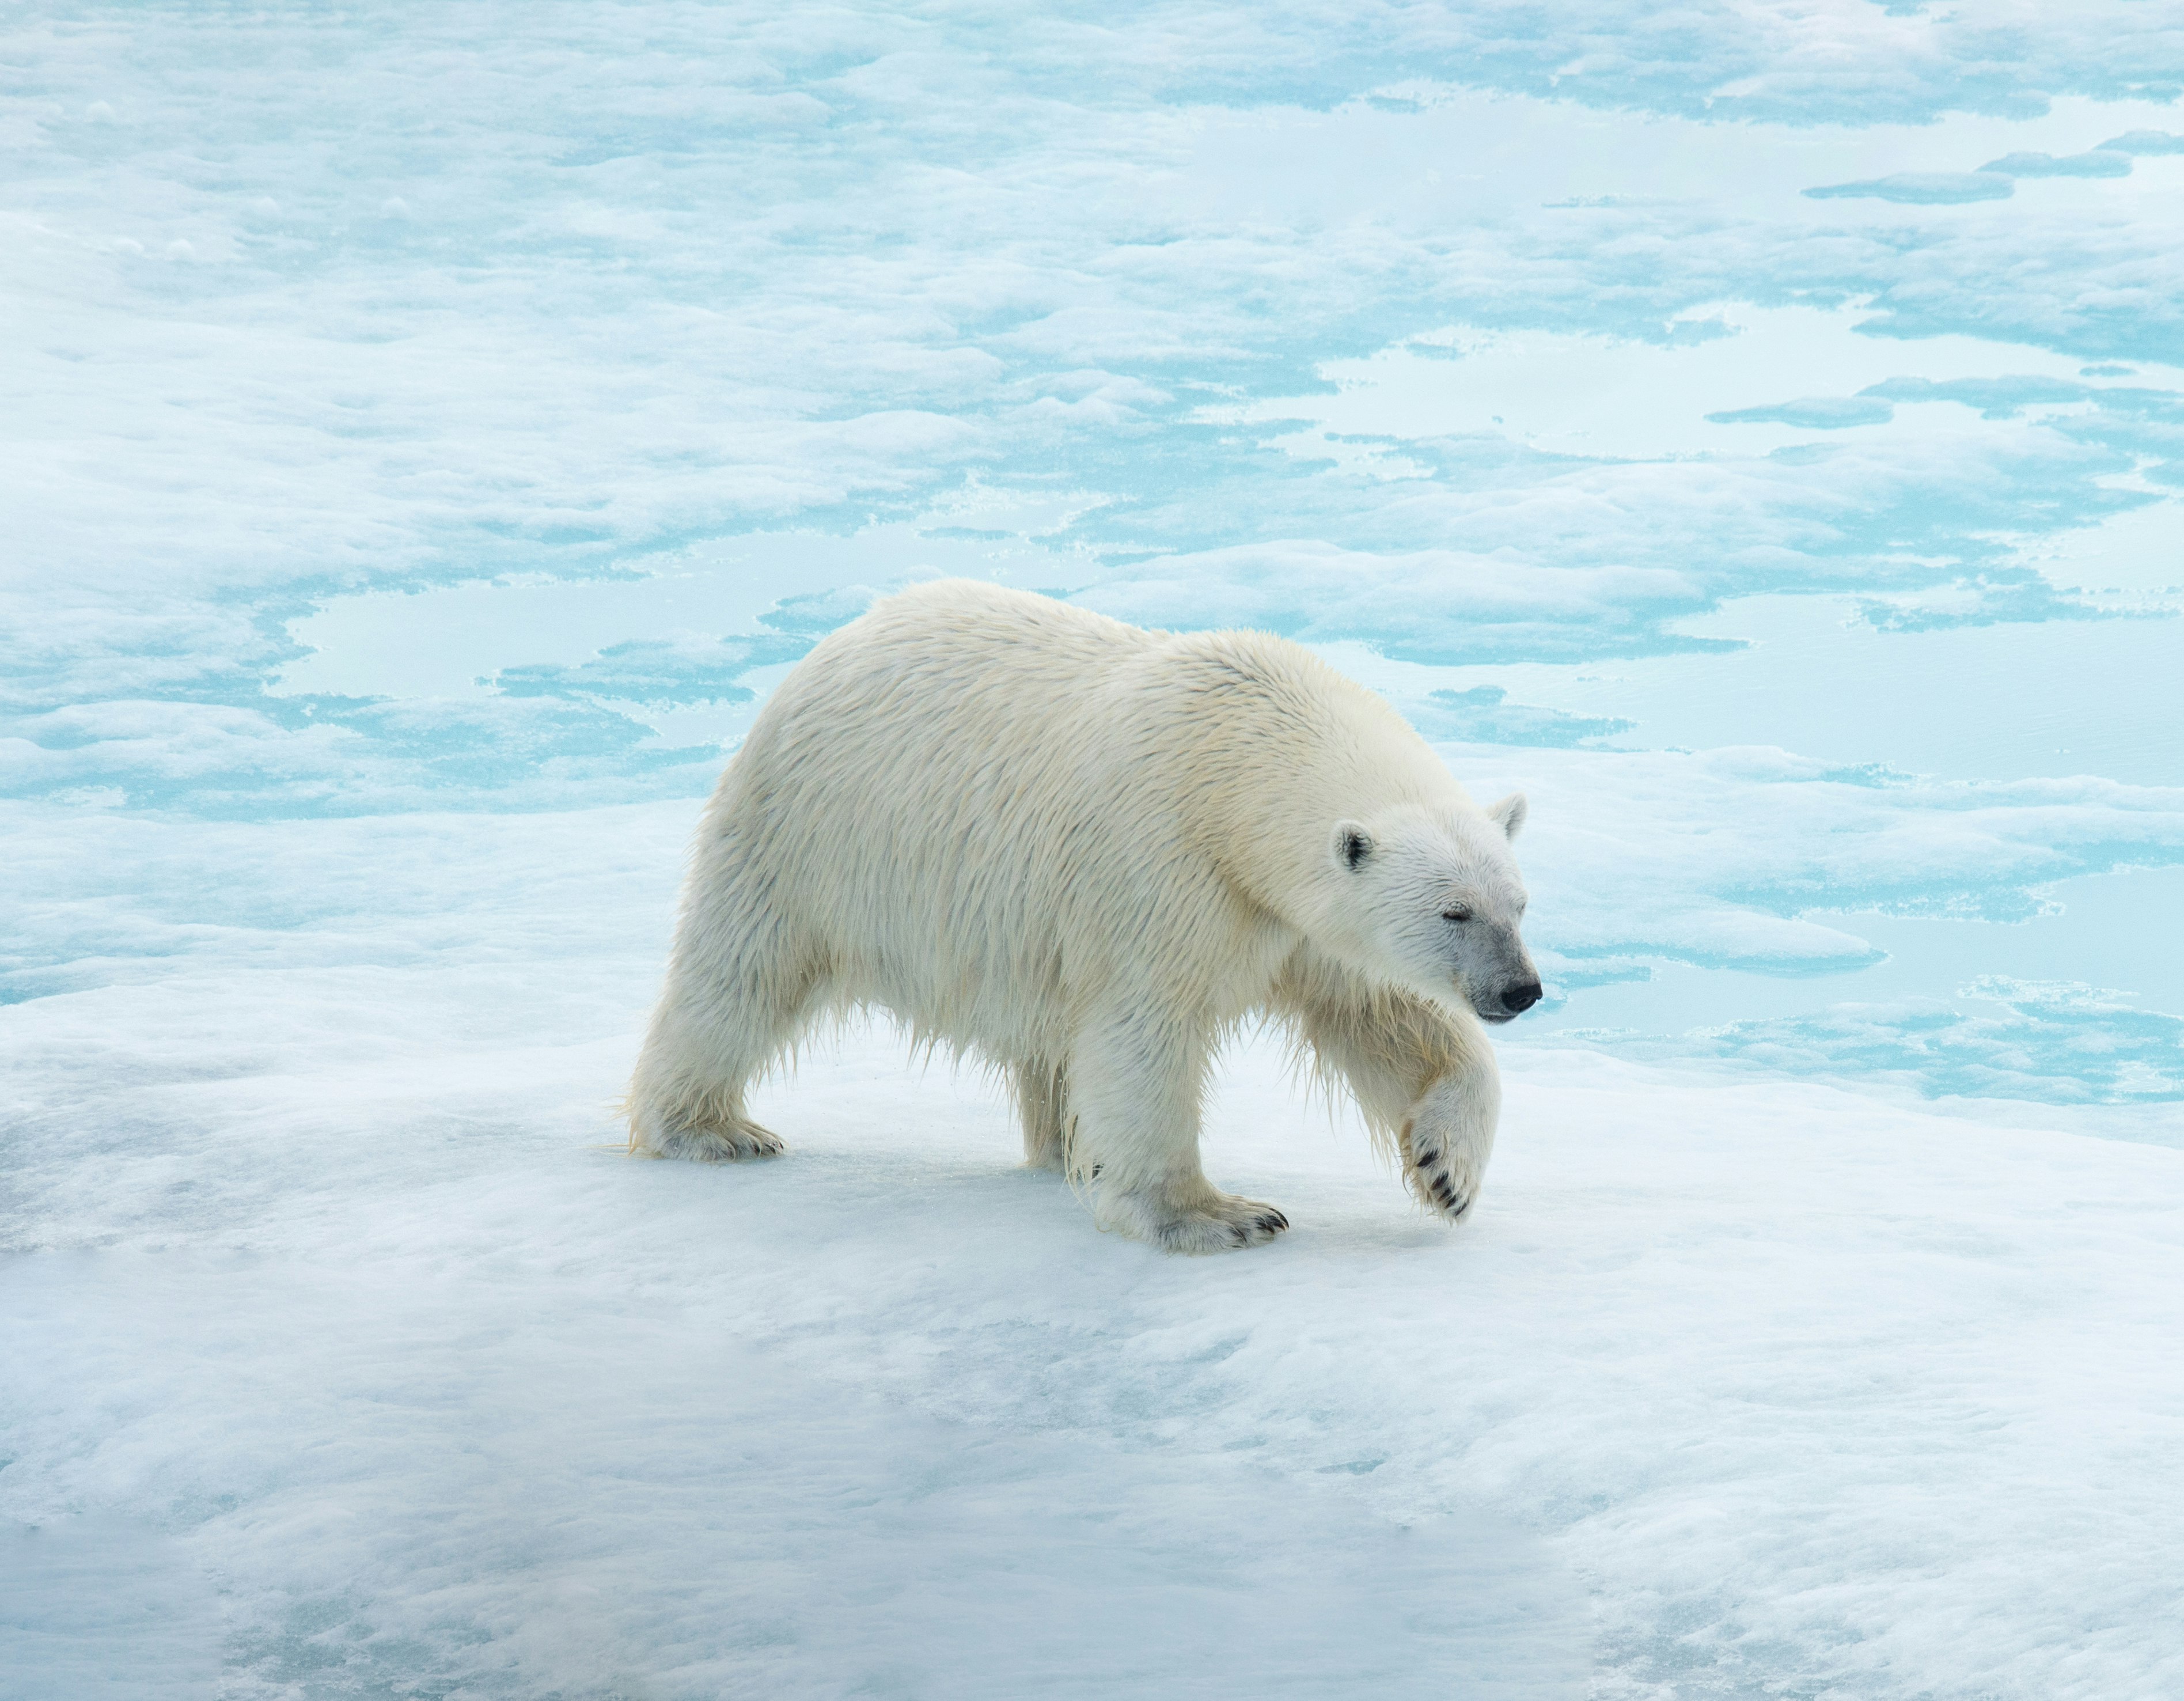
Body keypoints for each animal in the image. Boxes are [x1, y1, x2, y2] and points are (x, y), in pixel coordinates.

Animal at [626, 579, 1540, 1253]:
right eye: (1454, 911)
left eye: (1518, 903)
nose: (1520, 989)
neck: (1237, 759)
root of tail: (834, 642)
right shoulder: (1160, 869)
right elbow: (1145, 1032)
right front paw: (1215, 1215)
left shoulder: (1292, 918)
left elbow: (1385, 1015)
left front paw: (1447, 1170)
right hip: (813, 840)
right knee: (741, 976)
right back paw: (710, 1128)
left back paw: (1065, 1149)